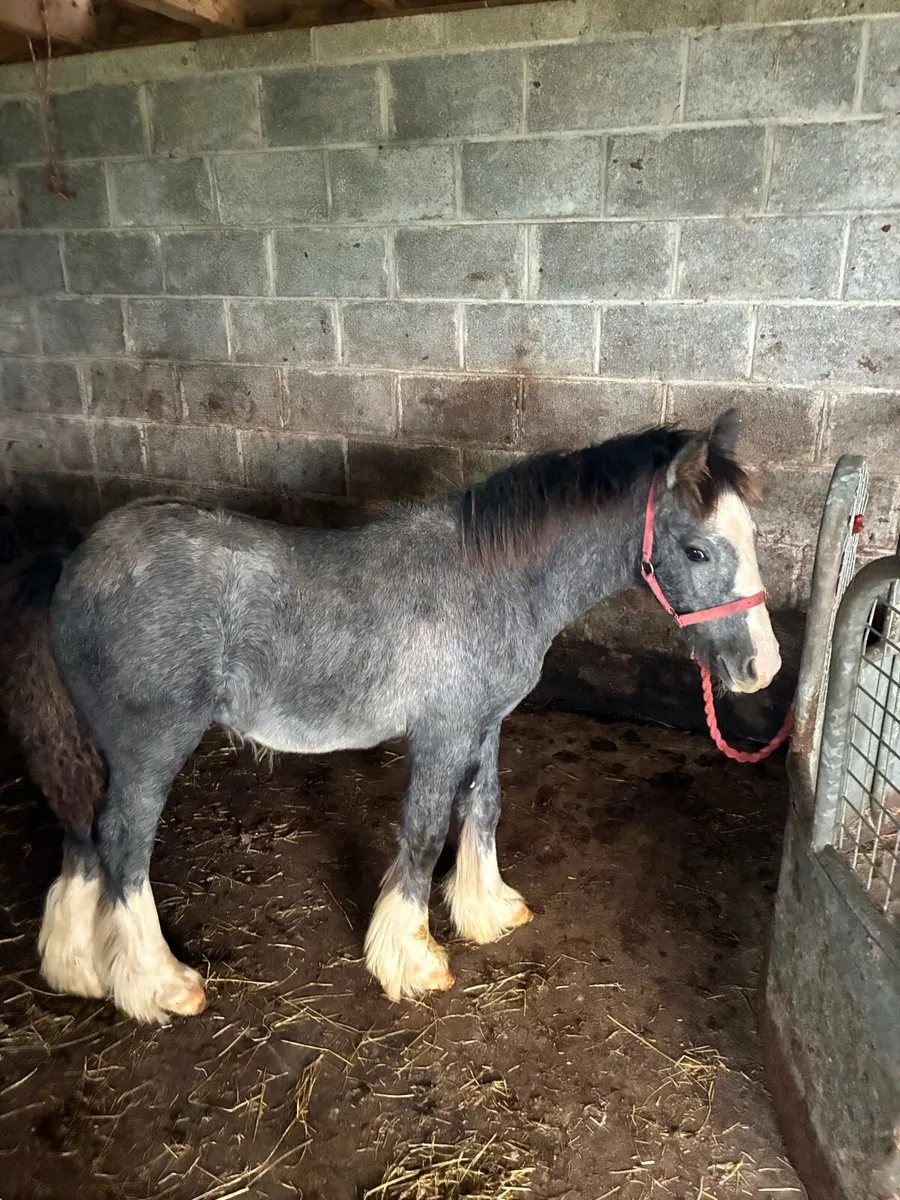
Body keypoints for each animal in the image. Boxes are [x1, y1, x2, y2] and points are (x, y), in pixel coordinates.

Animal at [0, 408, 781, 1024]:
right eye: (697, 549)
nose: (762, 668)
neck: (493, 580)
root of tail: (75, 559)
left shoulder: (483, 725)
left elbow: (484, 808)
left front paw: (488, 911)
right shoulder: (441, 734)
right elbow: (426, 831)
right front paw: (412, 958)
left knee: (81, 831)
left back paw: (78, 967)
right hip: (150, 749)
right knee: (123, 846)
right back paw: (159, 985)